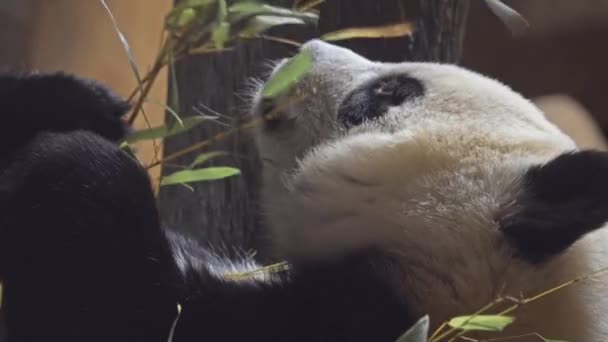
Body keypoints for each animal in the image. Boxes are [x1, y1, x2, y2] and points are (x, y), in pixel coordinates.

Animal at [1, 40, 608, 342]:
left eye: (392, 91)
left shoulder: (331, 328)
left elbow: (101, 299)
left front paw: (77, 161)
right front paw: (79, 101)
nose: (303, 48)